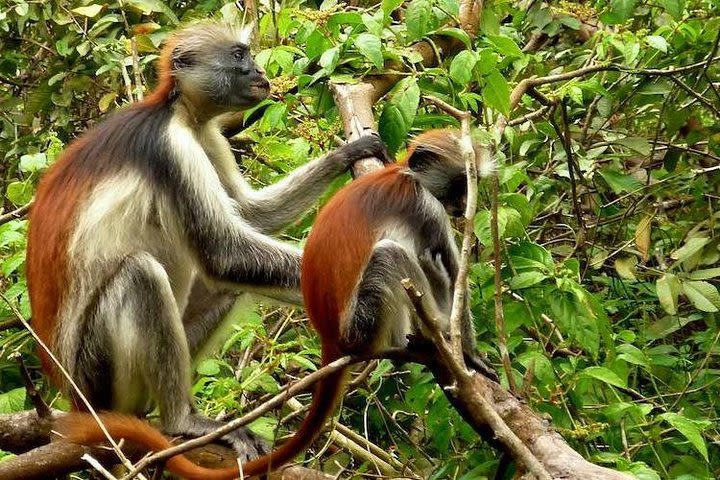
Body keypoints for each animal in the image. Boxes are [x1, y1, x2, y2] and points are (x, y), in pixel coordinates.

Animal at [28, 21, 390, 464]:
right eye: (238, 56)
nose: (259, 73)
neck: (180, 112)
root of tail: (75, 398)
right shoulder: (172, 149)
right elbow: (224, 253)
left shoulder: (207, 136)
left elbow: (251, 215)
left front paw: (349, 154)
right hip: (97, 374)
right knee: (141, 274)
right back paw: (181, 420)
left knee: (225, 286)